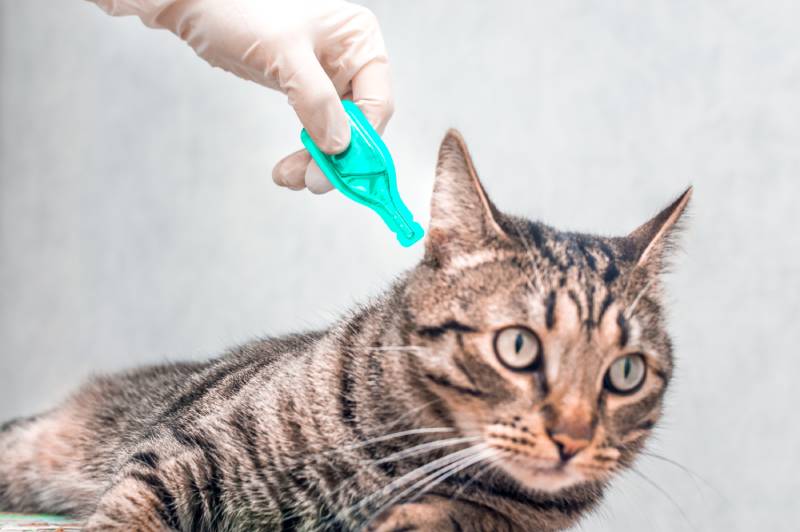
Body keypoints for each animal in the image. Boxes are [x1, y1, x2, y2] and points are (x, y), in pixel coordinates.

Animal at [0, 130, 688, 532]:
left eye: (625, 373)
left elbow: (467, 517)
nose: (573, 438)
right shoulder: (183, 450)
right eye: (518, 347)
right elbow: (131, 512)